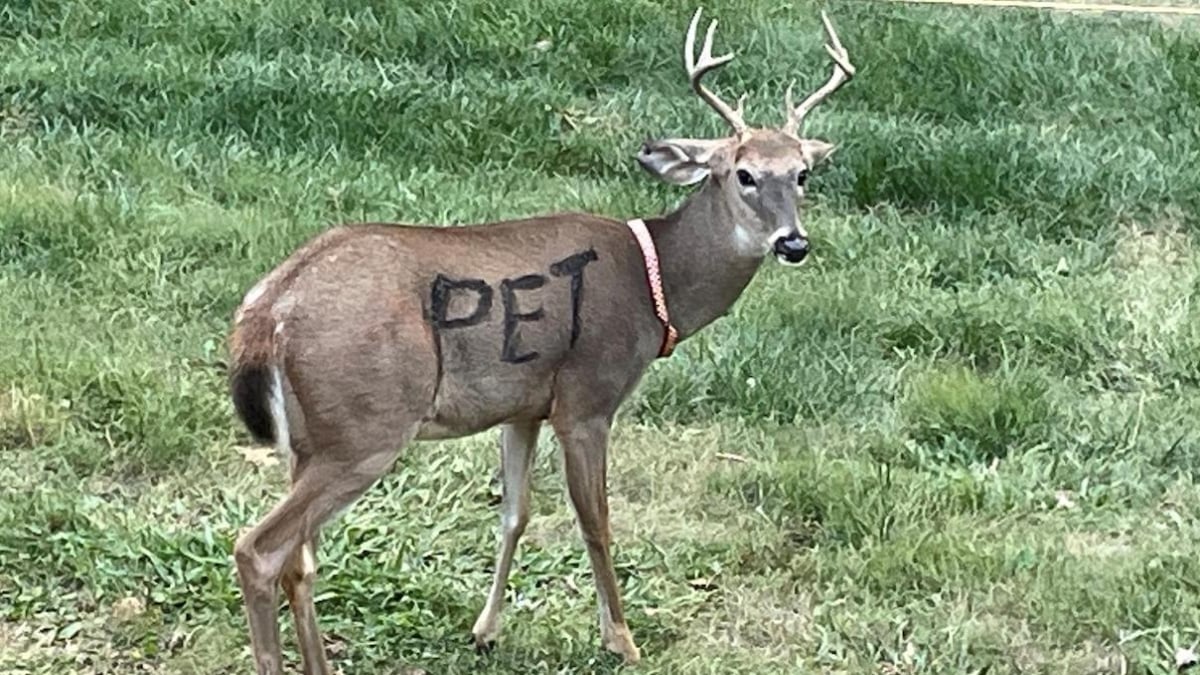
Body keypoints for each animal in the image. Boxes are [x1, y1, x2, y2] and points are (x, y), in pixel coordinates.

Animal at [225, 6, 859, 672]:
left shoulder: (523, 404)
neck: (654, 281)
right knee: (261, 549)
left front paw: (485, 629)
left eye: (802, 173)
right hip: (365, 423)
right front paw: (621, 639)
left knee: (299, 558)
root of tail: (267, 310)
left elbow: (515, 512)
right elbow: (595, 519)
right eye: (743, 175)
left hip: (307, 439)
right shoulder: (587, 396)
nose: (794, 242)